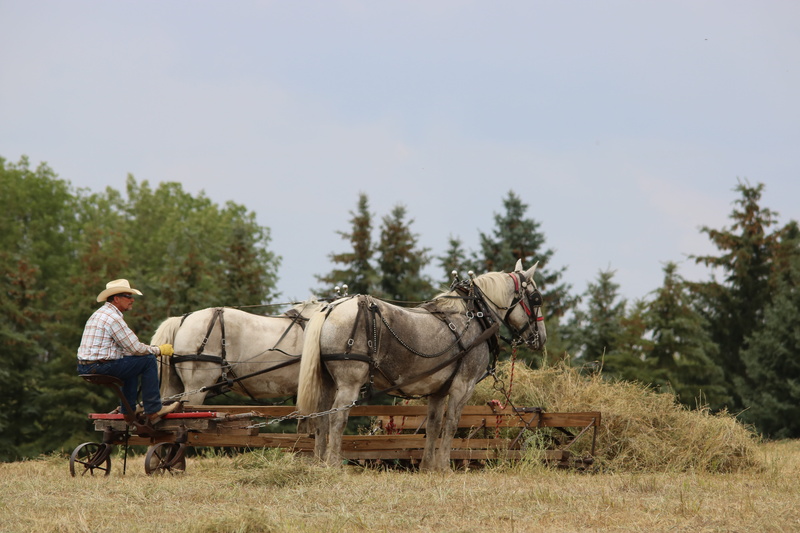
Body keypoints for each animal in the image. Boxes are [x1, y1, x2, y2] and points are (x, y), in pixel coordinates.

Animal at [296, 260, 546, 472]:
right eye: (536, 299)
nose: (541, 338)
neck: (476, 315)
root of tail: (331, 308)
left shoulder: (438, 390)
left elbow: (433, 425)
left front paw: (428, 467)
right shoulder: (463, 385)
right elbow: (451, 424)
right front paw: (444, 467)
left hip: (327, 382)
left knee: (321, 417)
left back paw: (320, 463)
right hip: (350, 383)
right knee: (337, 418)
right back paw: (333, 464)